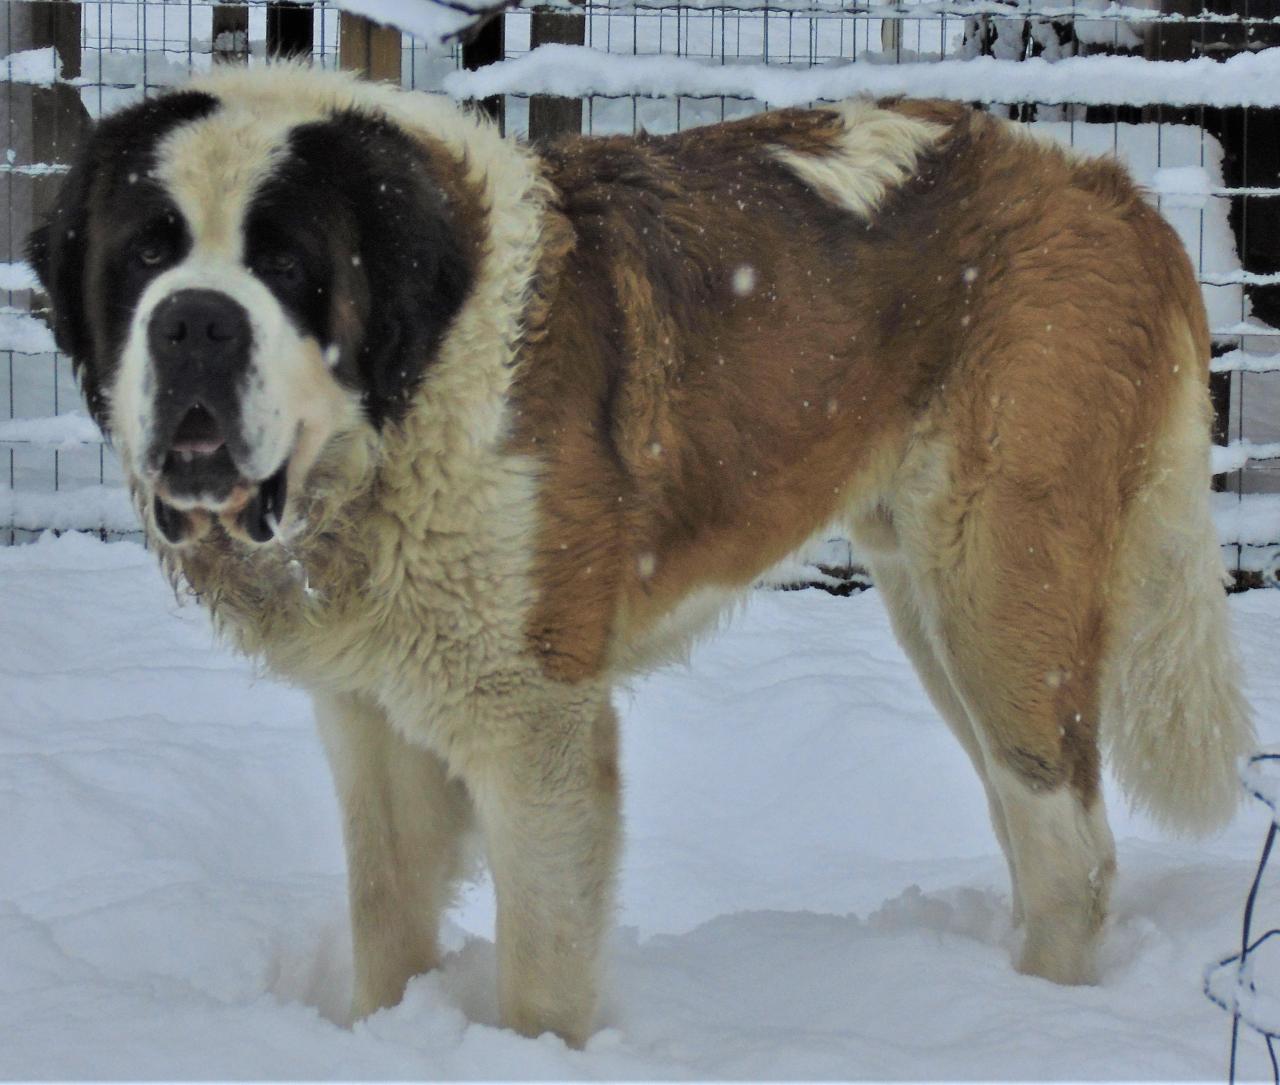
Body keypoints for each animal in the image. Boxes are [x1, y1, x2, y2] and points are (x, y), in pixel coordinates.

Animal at [27, 63, 1249, 1049]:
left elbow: (541, 963)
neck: (403, 399)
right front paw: (386, 1033)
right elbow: (389, 913)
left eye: (290, 267)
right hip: (930, 598)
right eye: (144, 255)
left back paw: (1034, 1021)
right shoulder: (373, 716)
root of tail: (1104, 183)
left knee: (1068, 843)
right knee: (1025, 811)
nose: (193, 321)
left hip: (998, 578)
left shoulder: (535, 719)